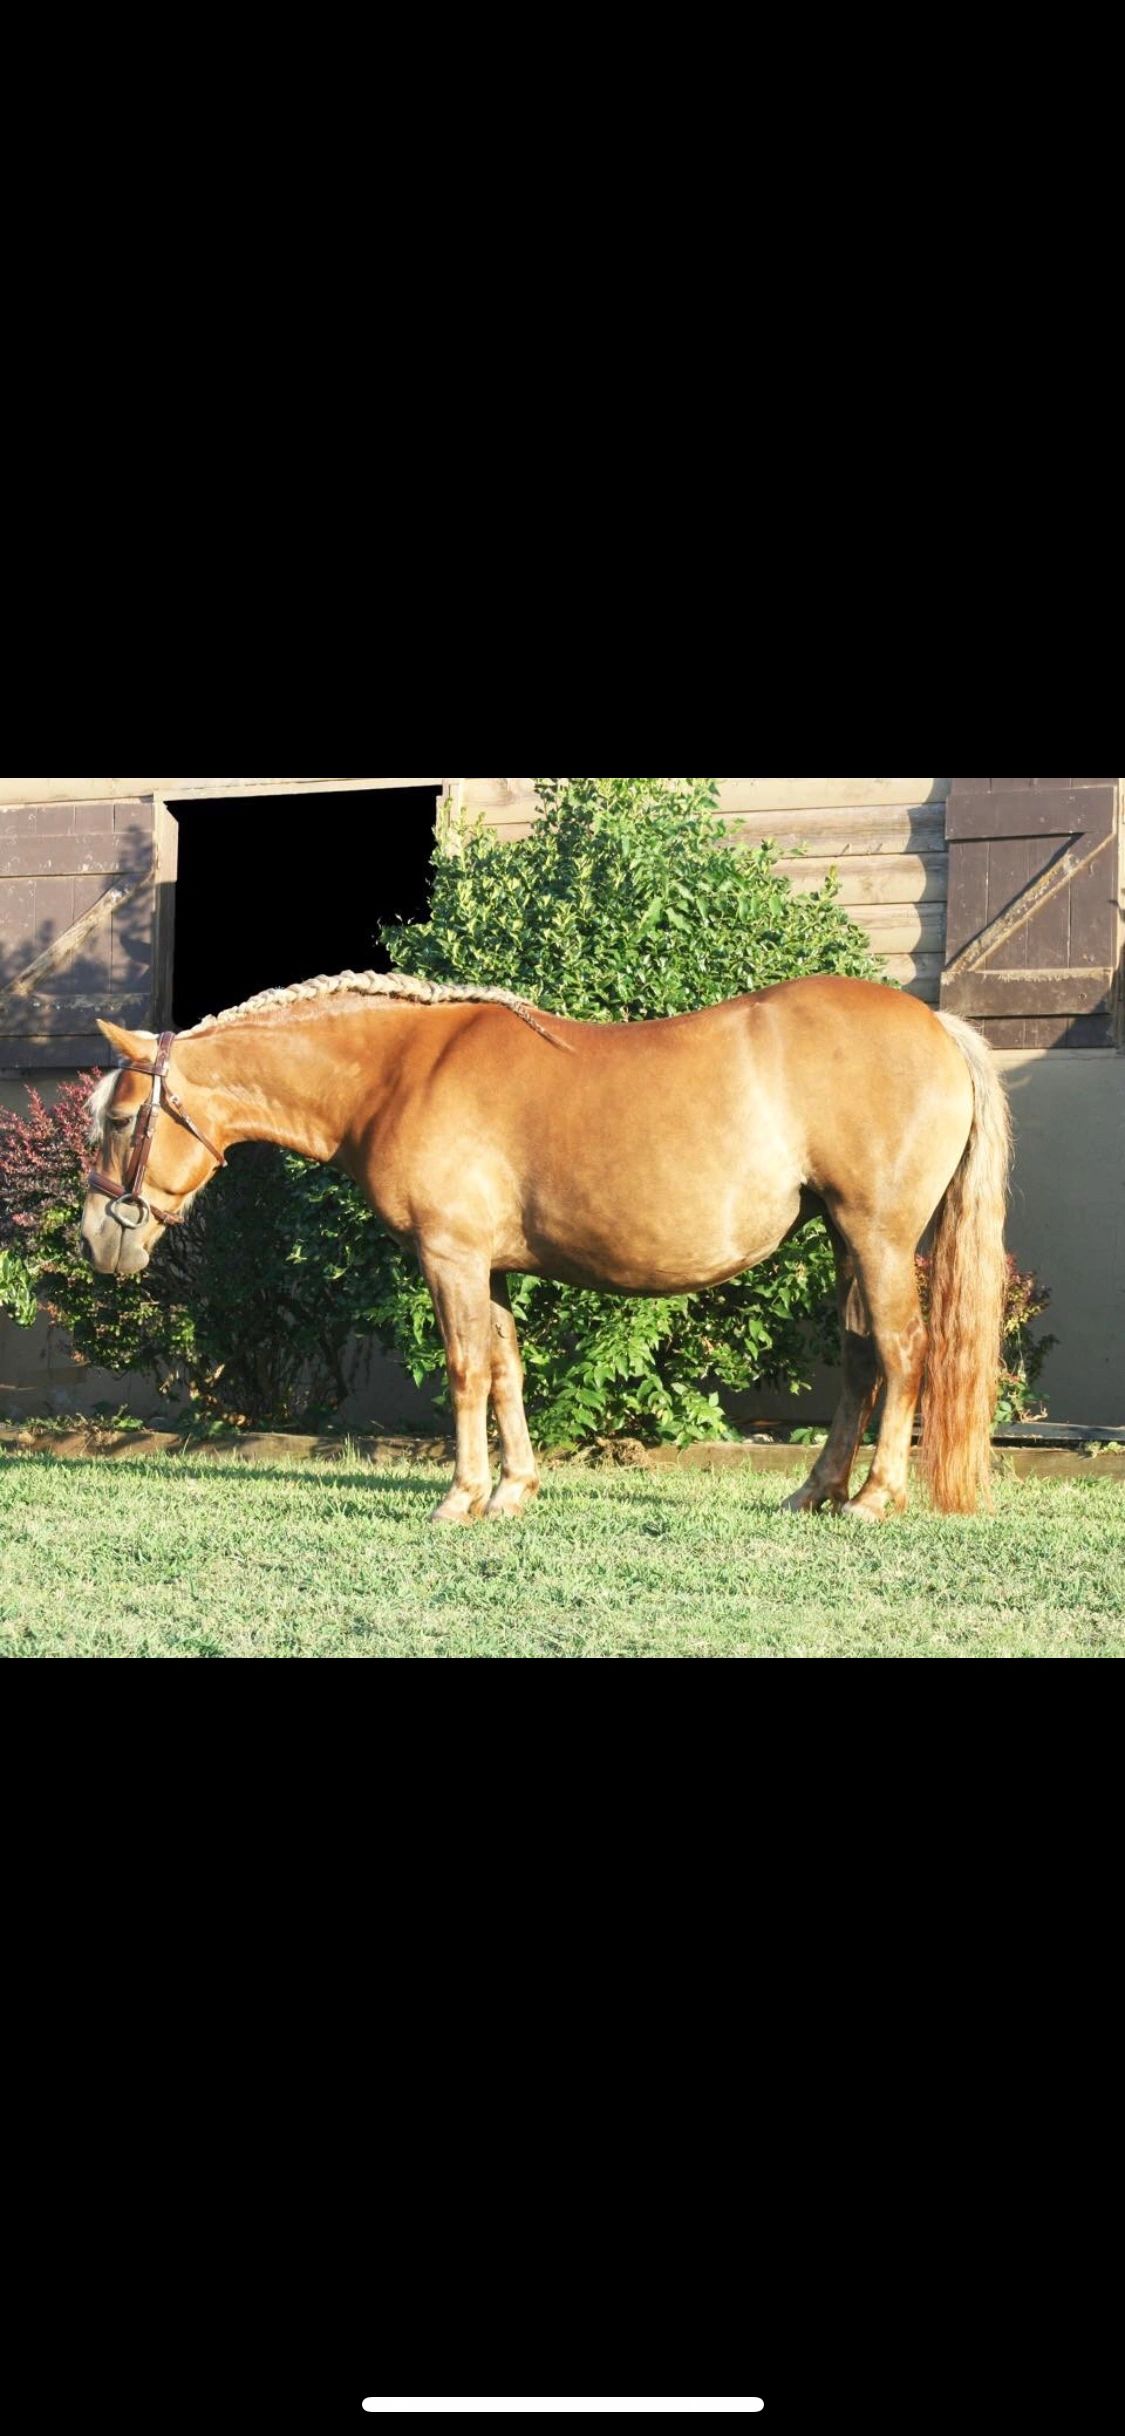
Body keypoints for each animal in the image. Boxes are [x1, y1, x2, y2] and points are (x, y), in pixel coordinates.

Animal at [81, 968, 1012, 1524]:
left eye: (120, 1120)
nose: (97, 1241)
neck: (399, 1070)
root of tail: (935, 1024)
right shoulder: (487, 1265)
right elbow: (506, 1371)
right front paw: (512, 1490)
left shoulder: (449, 1256)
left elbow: (465, 1371)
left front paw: (460, 1498)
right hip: (845, 1239)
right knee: (860, 1358)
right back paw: (815, 1491)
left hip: (879, 1237)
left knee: (903, 1351)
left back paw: (875, 1498)